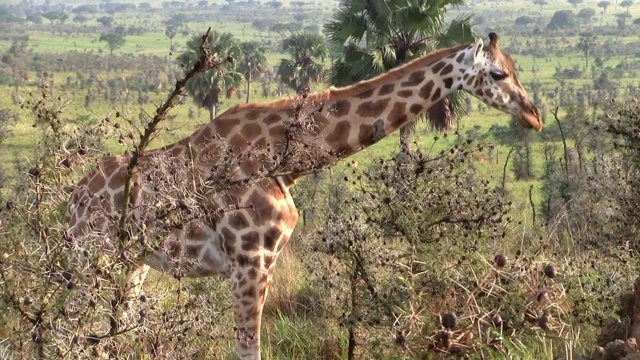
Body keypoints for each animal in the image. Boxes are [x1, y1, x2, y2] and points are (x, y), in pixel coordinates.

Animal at [66, 32, 540, 358]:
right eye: (498, 73)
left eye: (515, 67)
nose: (533, 115)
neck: (287, 160)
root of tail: (72, 201)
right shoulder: (250, 260)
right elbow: (248, 350)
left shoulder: (263, 262)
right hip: (91, 257)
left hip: (131, 264)